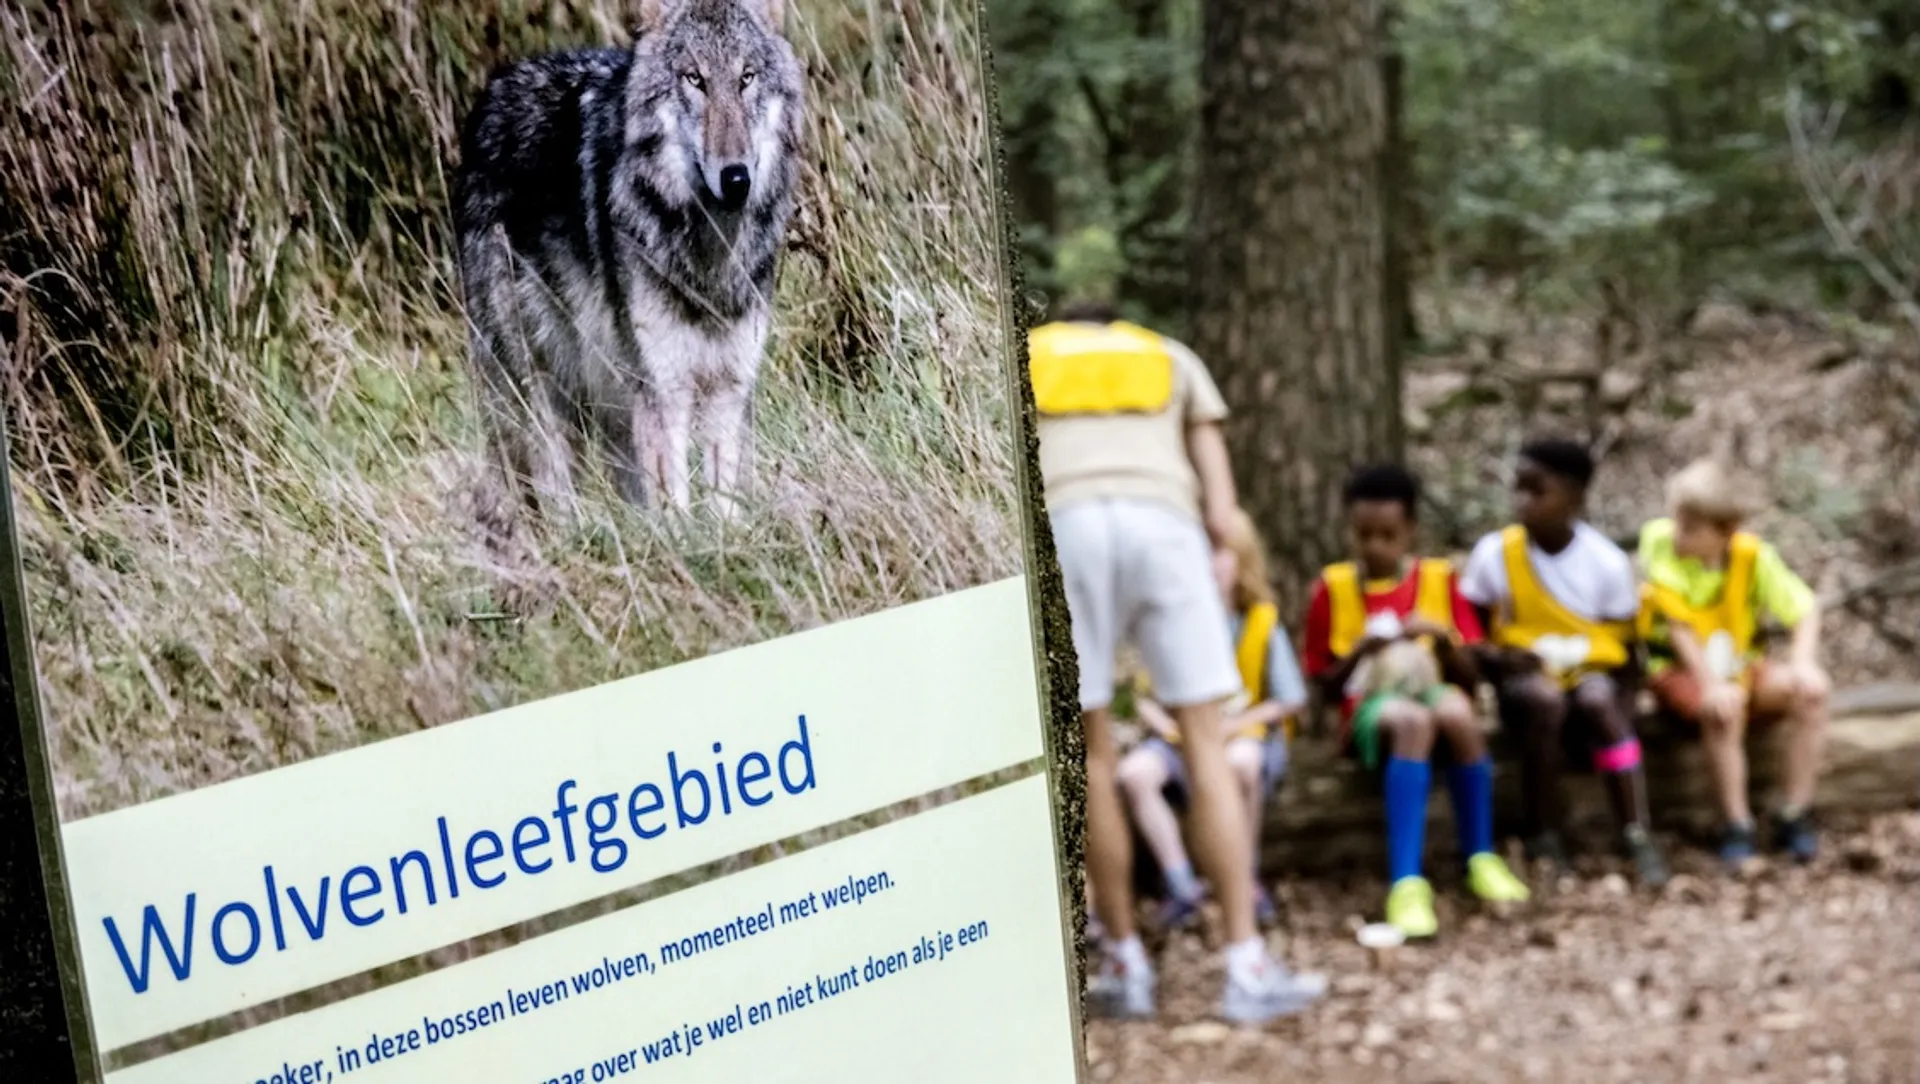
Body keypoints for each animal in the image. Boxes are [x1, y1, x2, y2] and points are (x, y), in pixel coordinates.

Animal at [451, 0, 804, 525]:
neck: (709, 260)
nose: (736, 178)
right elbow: (677, 509)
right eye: (694, 79)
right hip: (537, 395)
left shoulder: (729, 390)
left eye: (746, 77)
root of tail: (495, 89)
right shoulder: (663, 393)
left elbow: (725, 510)